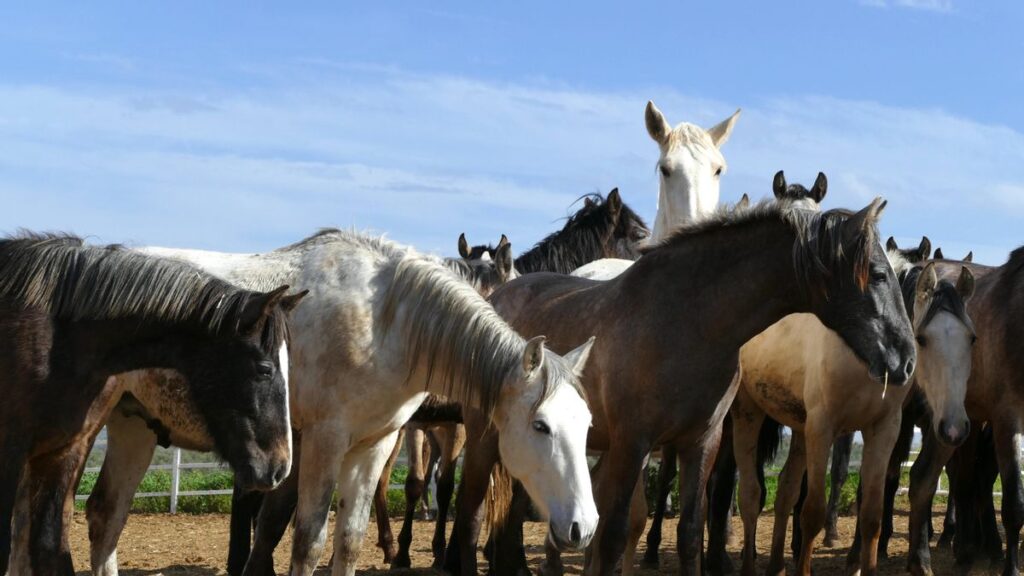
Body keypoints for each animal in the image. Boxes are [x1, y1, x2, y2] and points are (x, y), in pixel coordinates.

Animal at [0, 232, 303, 576]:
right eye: (264, 369)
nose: (279, 467)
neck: (57, 338)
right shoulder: (10, 451)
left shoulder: (63, 452)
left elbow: (51, 549)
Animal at [78, 229, 598, 576]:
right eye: (541, 426)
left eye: (586, 424)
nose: (584, 526)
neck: (383, 320)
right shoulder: (324, 441)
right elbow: (308, 540)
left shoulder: (375, 443)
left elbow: (348, 541)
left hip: (135, 423)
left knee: (107, 514)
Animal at [450, 197, 916, 576]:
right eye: (878, 274)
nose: (906, 357)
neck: (689, 322)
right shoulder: (632, 444)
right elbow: (613, 534)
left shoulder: (701, 443)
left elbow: (691, 534)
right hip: (483, 439)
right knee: (471, 512)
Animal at [731, 260, 975, 576]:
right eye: (922, 339)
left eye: (972, 338)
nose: (954, 428)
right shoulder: (822, 429)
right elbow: (812, 514)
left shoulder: (884, 430)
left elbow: (871, 516)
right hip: (748, 413)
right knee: (749, 496)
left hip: (799, 429)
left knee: (785, 491)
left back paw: (776, 566)